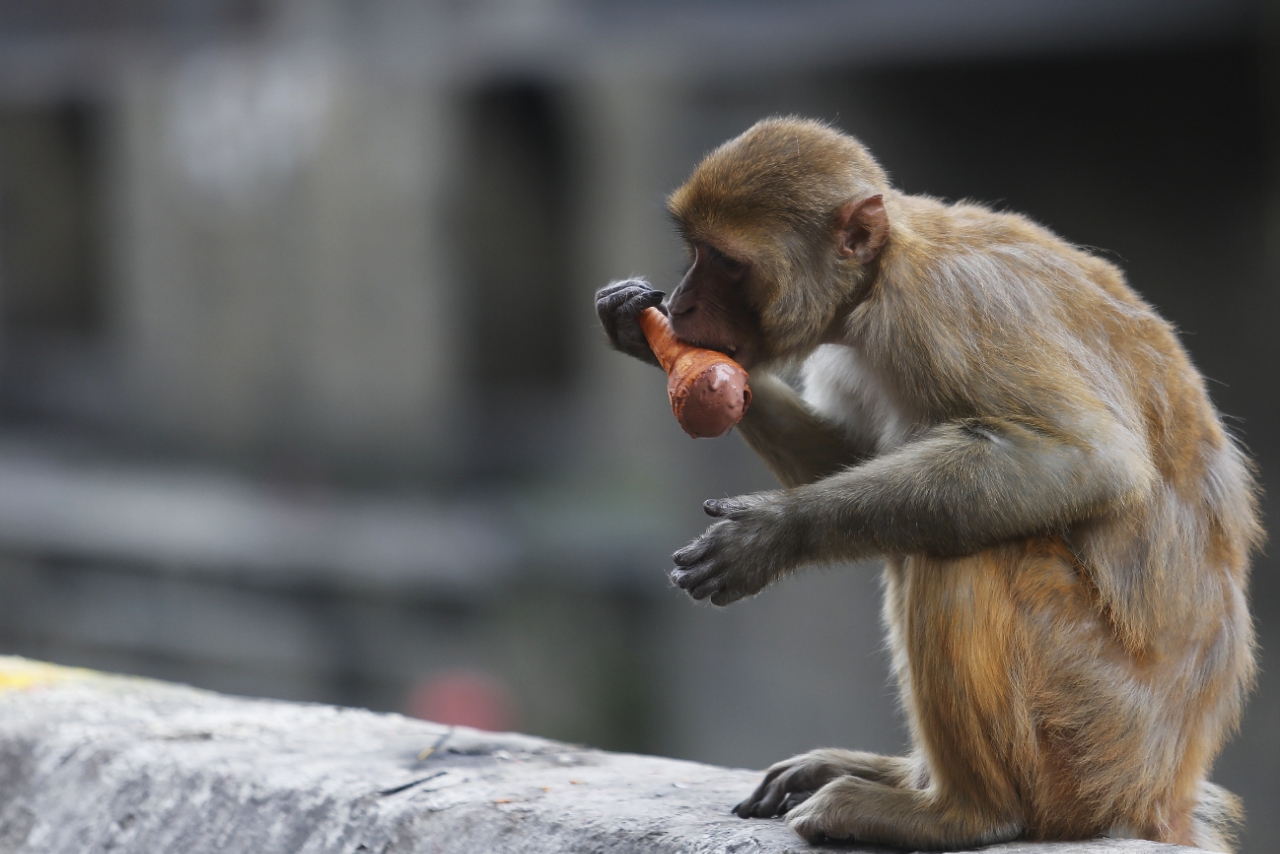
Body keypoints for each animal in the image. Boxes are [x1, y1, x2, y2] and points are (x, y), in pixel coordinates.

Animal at [596, 117, 1259, 850]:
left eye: (725, 262)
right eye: (693, 253)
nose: (682, 305)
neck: (881, 277)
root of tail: (1164, 788)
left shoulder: (946, 312)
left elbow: (1090, 460)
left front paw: (773, 533)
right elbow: (856, 458)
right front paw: (634, 328)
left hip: (1091, 737)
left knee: (969, 551)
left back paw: (959, 813)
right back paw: (898, 776)